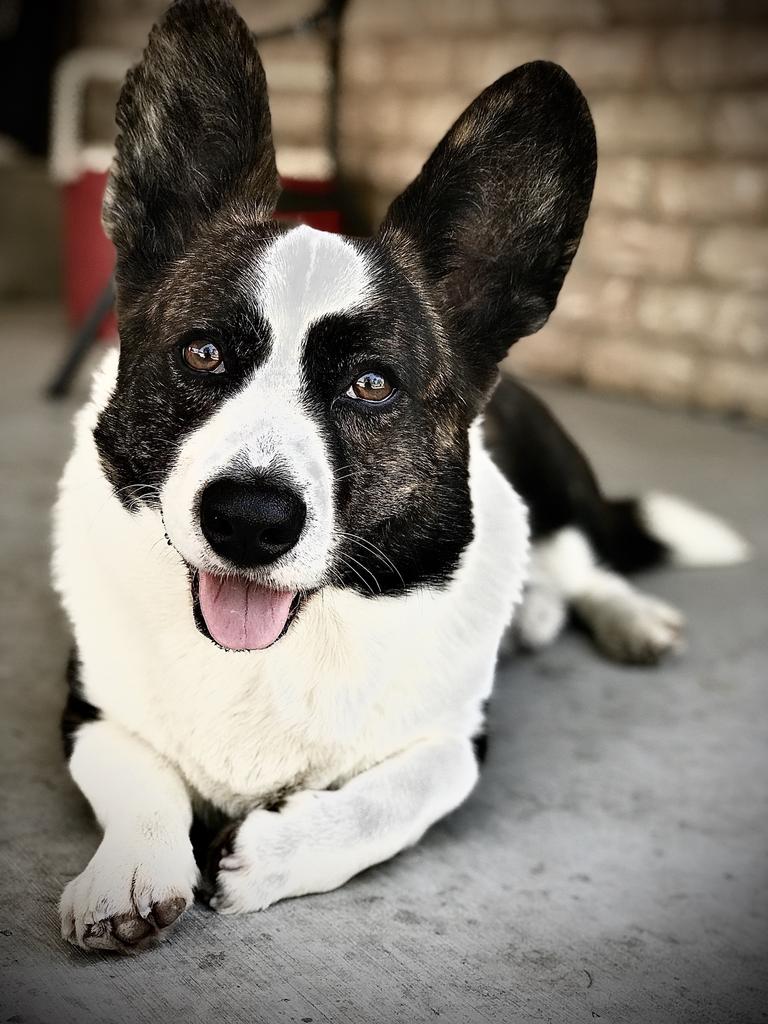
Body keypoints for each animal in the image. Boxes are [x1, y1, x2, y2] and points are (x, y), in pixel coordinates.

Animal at [54, 0, 753, 954]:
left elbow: (396, 798)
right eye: (201, 353)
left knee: (586, 554)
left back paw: (623, 616)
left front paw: (270, 858)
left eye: (372, 385)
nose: (249, 520)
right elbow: (133, 769)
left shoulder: (459, 744)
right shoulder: (85, 705)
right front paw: (128, 871)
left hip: (549, 472)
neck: (279, 644)